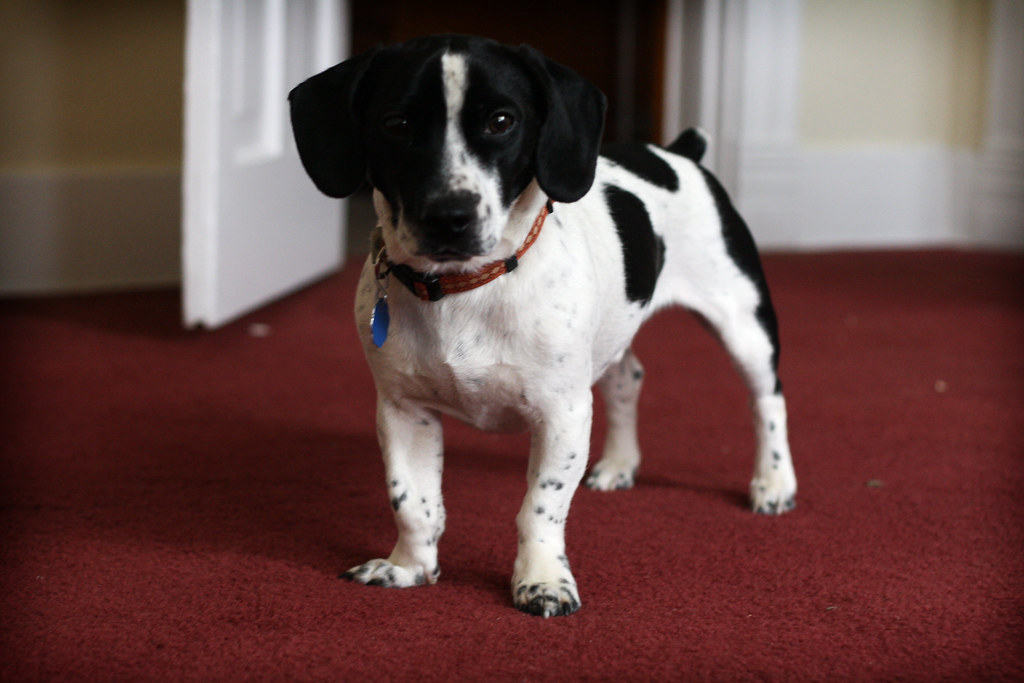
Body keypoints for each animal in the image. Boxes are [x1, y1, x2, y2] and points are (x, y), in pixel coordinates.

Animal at [288, 34, 798, 618]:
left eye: (502, 121)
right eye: (395, 123)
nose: (449, 217)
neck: (466, 288)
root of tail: (679, 152)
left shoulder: (563, 414)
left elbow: (540, 506)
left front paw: (542, 580)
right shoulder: (403, 411)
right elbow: (412, 502)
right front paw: (409, 567)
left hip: (744, 325)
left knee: (767, 400)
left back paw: (773, 481)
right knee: (629, 379)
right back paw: (620, 463)